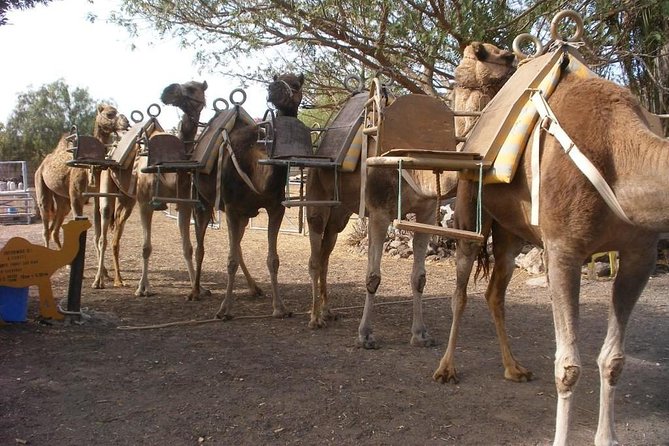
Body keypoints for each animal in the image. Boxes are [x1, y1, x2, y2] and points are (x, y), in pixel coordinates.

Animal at [35, 104, 129, 255]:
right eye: (110, 114)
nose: (126, 122)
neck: (90, 168)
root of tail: (41, 165)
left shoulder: (96, 196)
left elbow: (97, 233)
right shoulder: (76, 196)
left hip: (62, 199)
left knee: (55, 228)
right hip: (41, 182)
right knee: (45, 221)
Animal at [185, 73, 303, 318]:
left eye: (296, 84)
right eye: (276, 79)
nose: (273, 88)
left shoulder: (275, 208)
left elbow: (273, 259)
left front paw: (280, 307)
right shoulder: (231, 207)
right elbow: (230, 260)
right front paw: (224, 309)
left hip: (245, 213)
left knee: (237, 245)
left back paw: (254, 288)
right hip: (203, 201)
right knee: (201, 245)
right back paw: (196, 291)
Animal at [431, 54, 669, 444]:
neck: (620, 153)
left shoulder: (641, 256)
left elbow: (614, 359)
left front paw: (607, 437)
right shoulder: (563, 250)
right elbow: (567, 365)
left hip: (512, 235)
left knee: (495, 292)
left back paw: (514, 368)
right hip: (469, 213)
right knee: (460, 291)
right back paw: (446, 369)